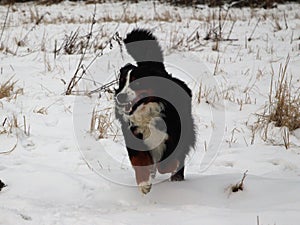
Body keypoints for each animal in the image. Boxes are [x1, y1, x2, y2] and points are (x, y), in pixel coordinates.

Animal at [114, 28, 195, 193]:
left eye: (137, 83)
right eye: (122, 83)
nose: (120, 96)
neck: (148, 112)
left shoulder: (175, 131)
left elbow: (169, 159)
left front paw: (168, 168)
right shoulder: (133, 133)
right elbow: (138, 158)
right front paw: (144, 183)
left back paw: (177, 177)